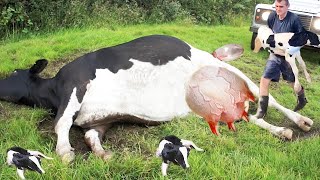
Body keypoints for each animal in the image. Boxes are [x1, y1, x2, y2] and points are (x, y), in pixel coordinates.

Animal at [0, 34, 314, 162]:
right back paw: (283, 131)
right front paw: (102, 153)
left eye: (13, 72)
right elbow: (89, 136)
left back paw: (301, 120)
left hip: (230, 72)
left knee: (265, 98)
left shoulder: (75, 83)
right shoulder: (98, 119)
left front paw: (64, 150)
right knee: (248, 115)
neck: (52, 91)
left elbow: (60, 123)